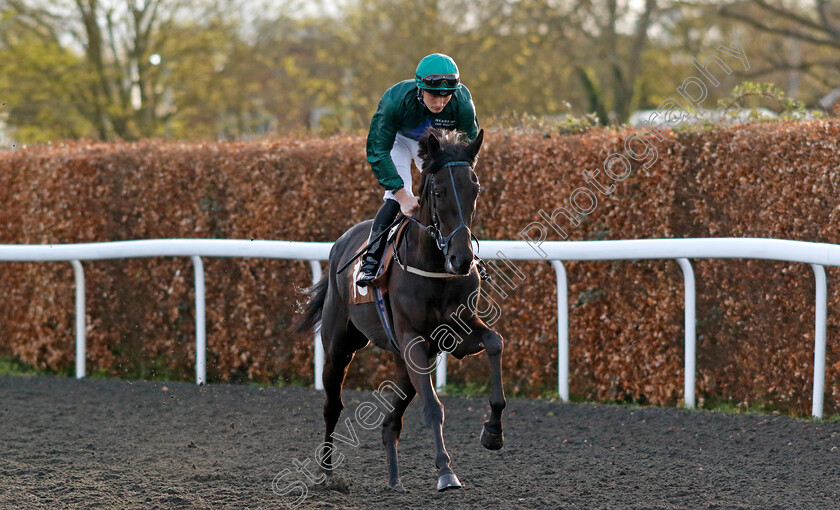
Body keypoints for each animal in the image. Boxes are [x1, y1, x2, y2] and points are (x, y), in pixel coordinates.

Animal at [296, 127, 506, 494]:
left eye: (475, 189)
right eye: (437, 192)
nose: (462, 259)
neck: (435, 267)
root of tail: (341, 242)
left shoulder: (457, 333)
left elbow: (495, 342)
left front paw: (493, 431)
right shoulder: (413, 341)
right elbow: (433, 407)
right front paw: (445, 471)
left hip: (403, 362)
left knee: (390, 422)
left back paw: (394, 480)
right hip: (340, 346)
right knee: (332, 406)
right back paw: (326, 472)